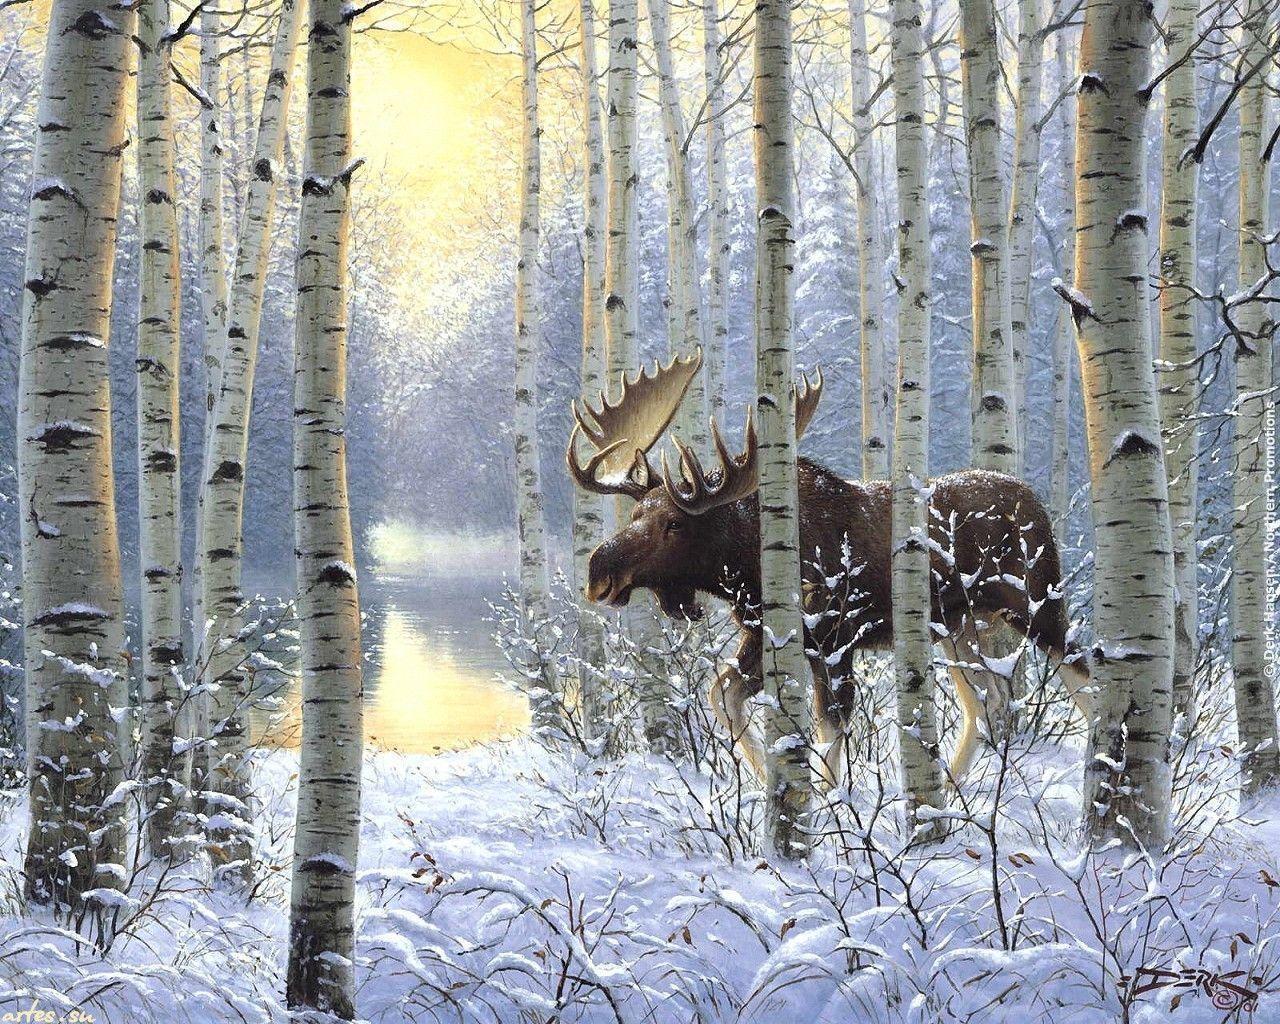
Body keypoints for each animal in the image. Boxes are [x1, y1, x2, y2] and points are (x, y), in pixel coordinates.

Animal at [567, 349, 1092, 785]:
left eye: (673, 523)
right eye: (635, 514)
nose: (598, 572)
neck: (747, 568)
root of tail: (1037, 504)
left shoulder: (837, 640)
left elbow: (829, 731)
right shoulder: (765, 636)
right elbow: (724, 696)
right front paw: (767, 784)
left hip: (1037, 603)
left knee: (1082, 673)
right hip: (958, 625)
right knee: (989, 705)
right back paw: (948, 798)